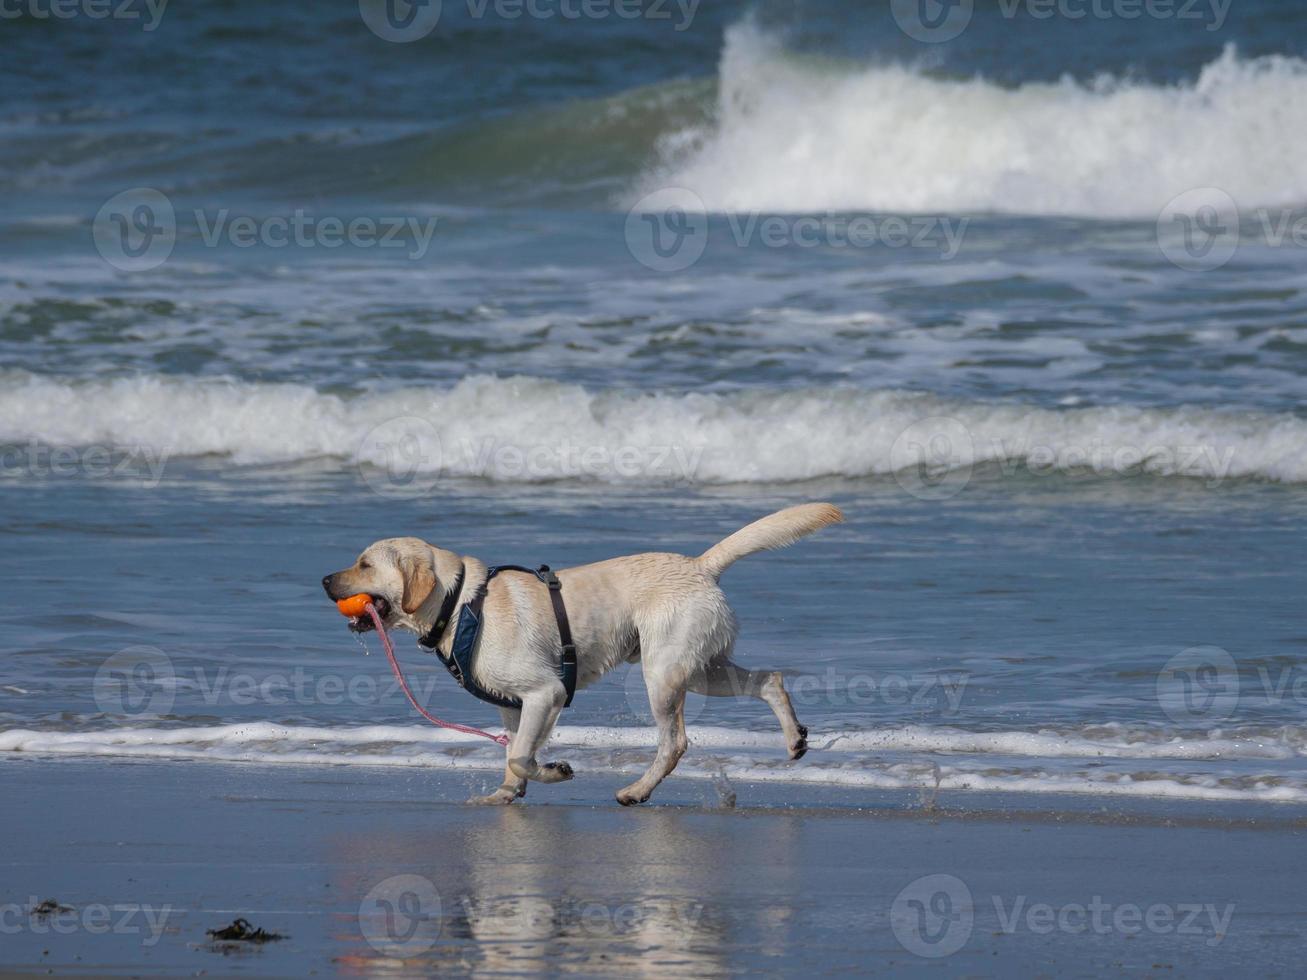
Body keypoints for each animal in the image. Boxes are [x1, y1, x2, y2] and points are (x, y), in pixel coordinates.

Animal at [321, 506, 841, 804]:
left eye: (364, 564)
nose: (324, 579)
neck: (460, 603)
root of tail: (701, 565)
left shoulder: (545, 692)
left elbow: (520, 756)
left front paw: (555, 771)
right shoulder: (513, 706)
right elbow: (513, 752)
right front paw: (505, 795)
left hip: (664, 675)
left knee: (674, 742)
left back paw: (637, 791)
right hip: (700, 668)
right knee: (769, 679)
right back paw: (794, 739)